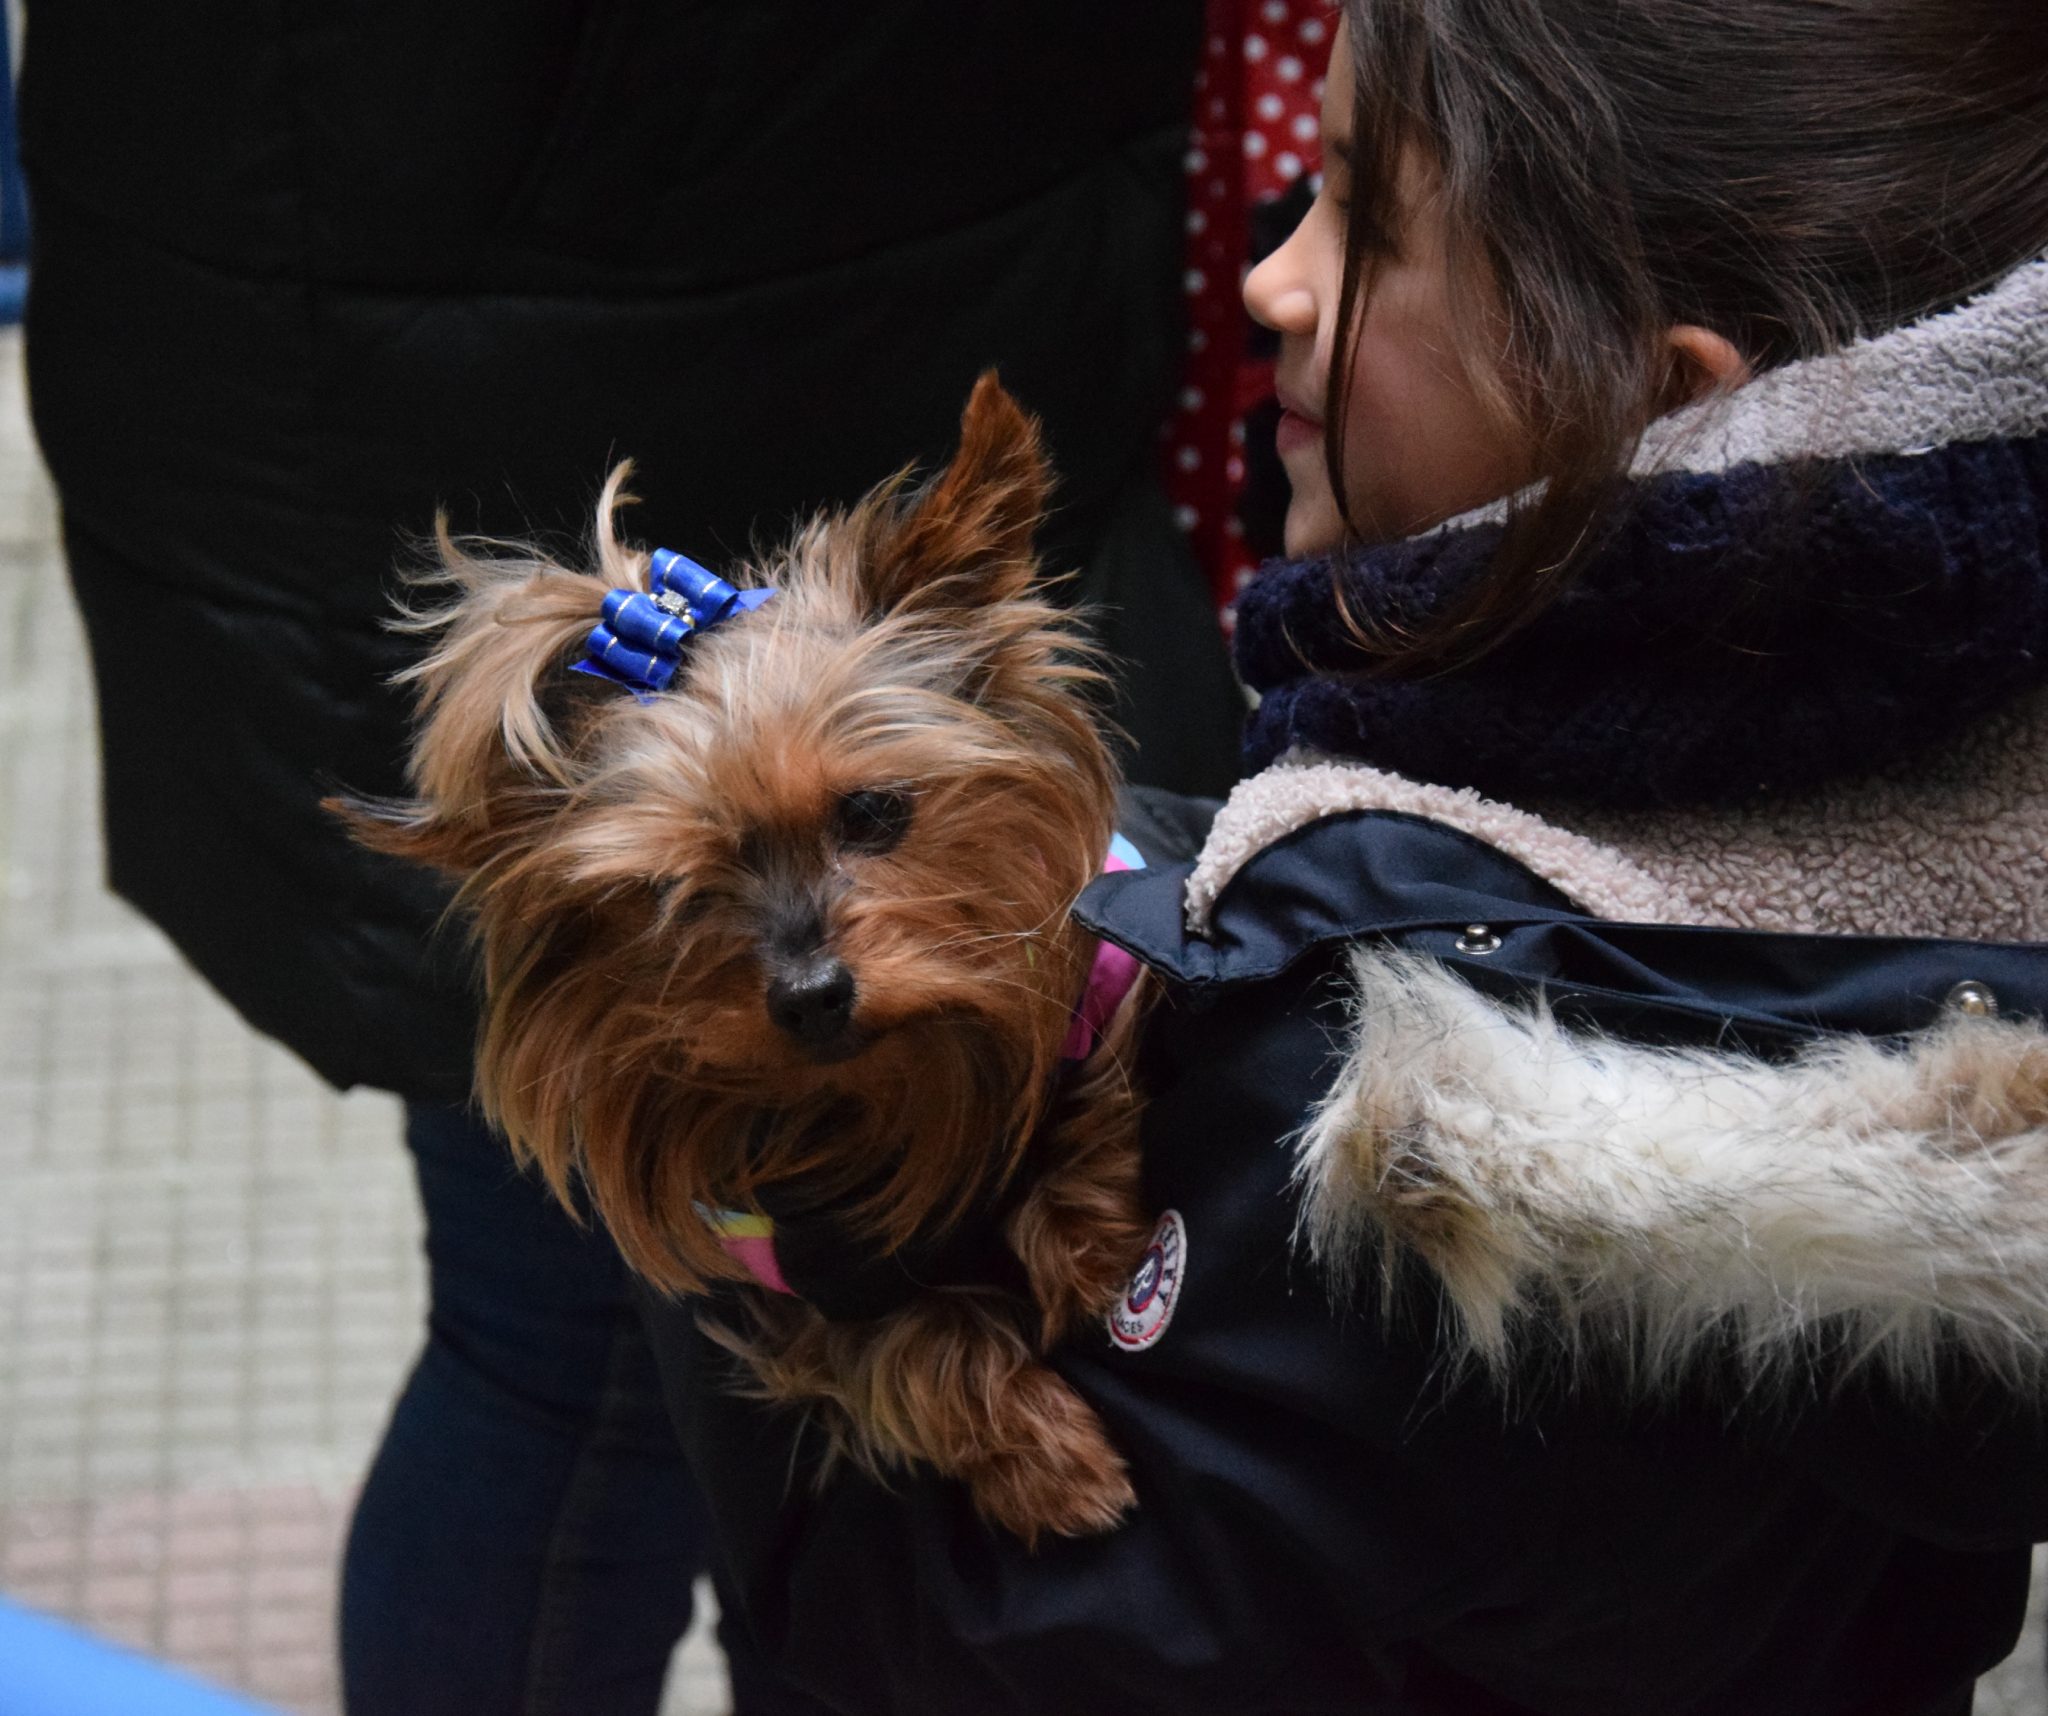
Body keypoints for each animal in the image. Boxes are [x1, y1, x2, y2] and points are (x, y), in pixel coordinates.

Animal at [344, 378, 1163, 1548]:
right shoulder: (784, 1293)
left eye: (873, 811)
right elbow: (908, 1349)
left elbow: (1091, 1105)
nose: (814, 996)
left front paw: (1095, 1260)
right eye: (665, 893)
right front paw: (1047, 1462)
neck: (879, 1095)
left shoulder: (1118, 964)